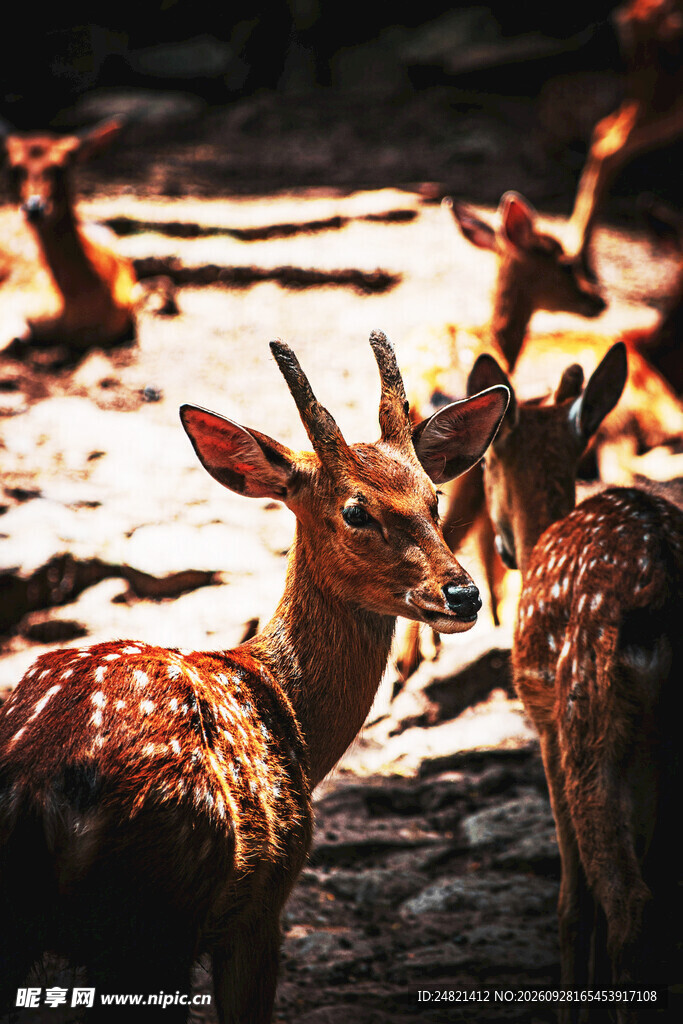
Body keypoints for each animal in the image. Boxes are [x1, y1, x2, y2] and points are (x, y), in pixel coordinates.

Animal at [0, 331, 509, 1022]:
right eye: (356, 511)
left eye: (434, 498)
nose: (462, 594)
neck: (290, 715)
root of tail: (40, 788)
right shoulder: (262, 903)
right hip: (158, 912)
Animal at [468, 341, 683, 1021]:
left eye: (487, 468)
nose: (505, 548)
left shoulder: (545, 727)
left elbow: (572, 902)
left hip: (587, 712)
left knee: (630, 904)